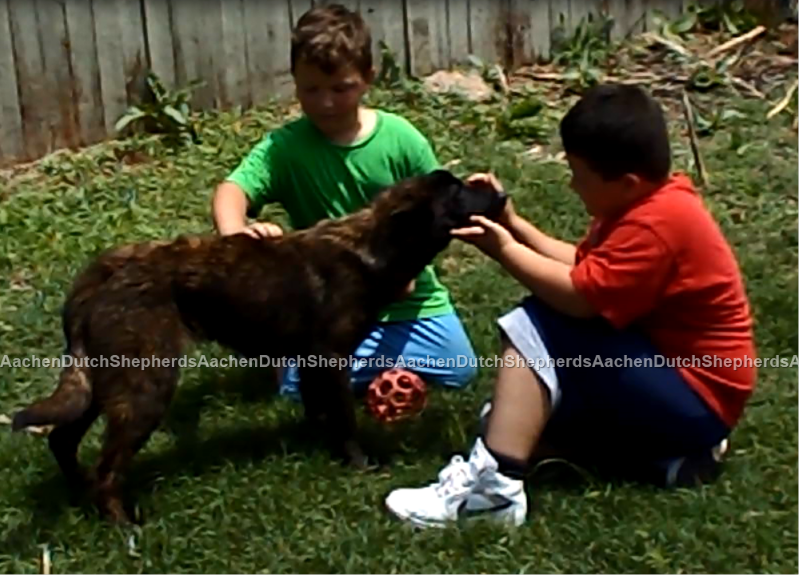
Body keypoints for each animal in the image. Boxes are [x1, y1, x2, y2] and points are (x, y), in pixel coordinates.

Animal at [10, 169, 506, 524]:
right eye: (456, 191)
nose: (500, 197)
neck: (374, 246)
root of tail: (103, 271)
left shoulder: (311, 363)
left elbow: (322, 415)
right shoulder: (331, 359)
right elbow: (345, 421)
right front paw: (359, 466)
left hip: (108, 381)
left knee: (62, 437)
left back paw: (80, 492)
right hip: (146, 385)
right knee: (107, 470)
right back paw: (122, 526)